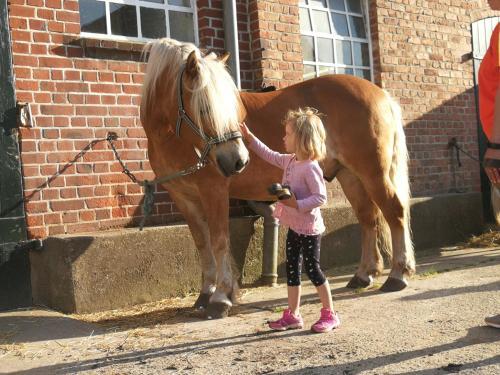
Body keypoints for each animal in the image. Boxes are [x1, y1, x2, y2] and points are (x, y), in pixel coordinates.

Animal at [141, 39, 414, 320]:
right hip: (349, 175)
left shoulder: (214, 191)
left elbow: (219, 241)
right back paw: (363, 275)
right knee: (368, 217)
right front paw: (205, 295)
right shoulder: (184, 198)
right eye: (205, 108)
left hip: (373, 172)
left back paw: (397, 274)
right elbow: (202, 244)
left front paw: (221, 297)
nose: (238, 160)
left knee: (394, 211)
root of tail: (381, 94)